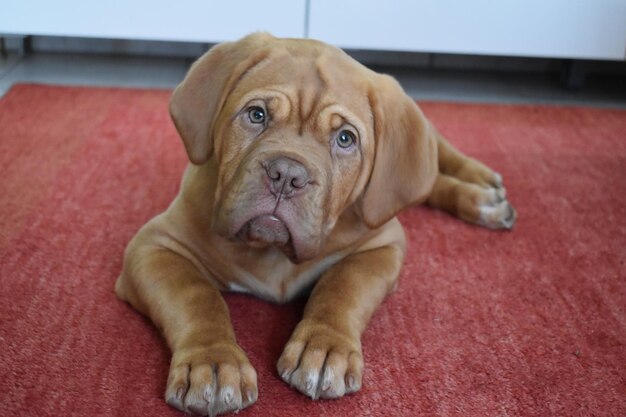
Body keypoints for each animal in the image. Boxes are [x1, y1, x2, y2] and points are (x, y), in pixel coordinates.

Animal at [114, 33, 516, 416]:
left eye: (345, 139)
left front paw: (323, 348)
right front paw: (212, 362)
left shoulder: (382, 244)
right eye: (256, 115)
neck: (272, 254)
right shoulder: (153, 246)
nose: (286, 174)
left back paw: (481, 190)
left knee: (434, 161)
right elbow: (195, 295)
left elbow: (343, 285)